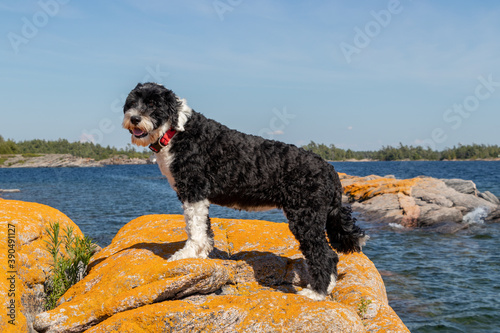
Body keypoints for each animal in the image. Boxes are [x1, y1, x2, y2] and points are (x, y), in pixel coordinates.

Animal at [123, 81, 366, 300]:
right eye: (132, 102)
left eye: (153, 104)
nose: (134, 118)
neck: (176, 132)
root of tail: (330, 170)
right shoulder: (197, 196)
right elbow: (204, 229)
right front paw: (201, 254)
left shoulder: (193, 190)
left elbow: (195, 229)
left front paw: (187, 254)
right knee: (331, 257)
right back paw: (328, 288)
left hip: (306, 217)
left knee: (323, 255)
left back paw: (316, 293)